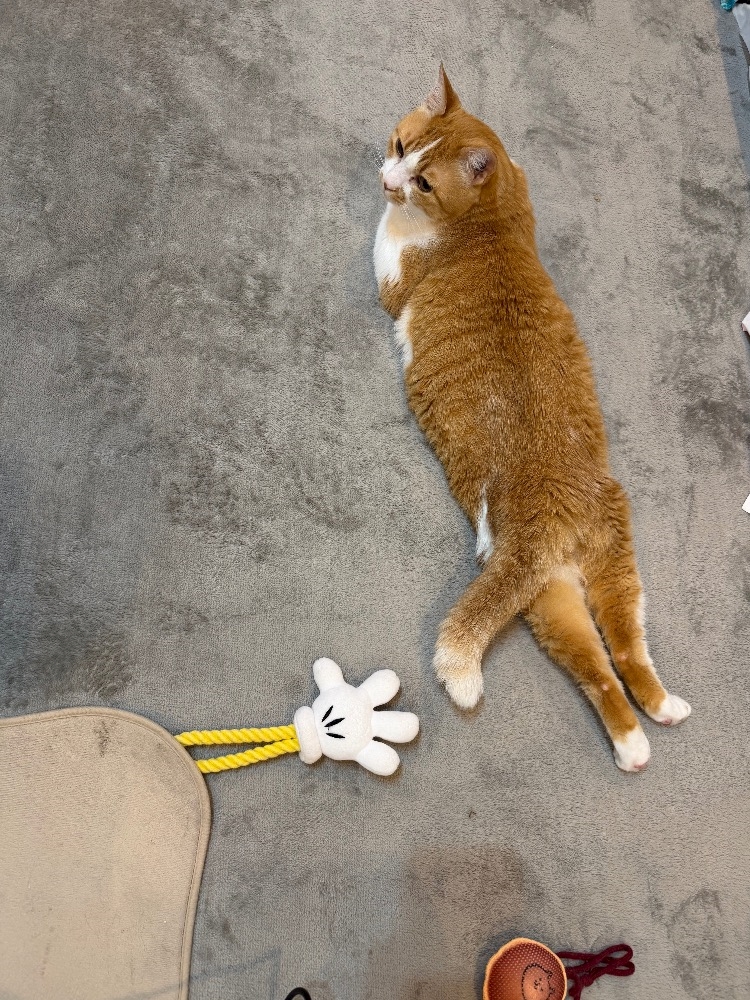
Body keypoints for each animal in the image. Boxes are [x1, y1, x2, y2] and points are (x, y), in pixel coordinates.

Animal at [373, 66, 691, 771]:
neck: (489, 219)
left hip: (526, 575)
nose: (387, 177)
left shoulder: (393, 276)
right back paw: (648, 727)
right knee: (616, 657)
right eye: (401, 143)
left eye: (424, 181)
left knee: (601, 667)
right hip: (583, 588)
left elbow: (380, 243)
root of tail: (563, 511)